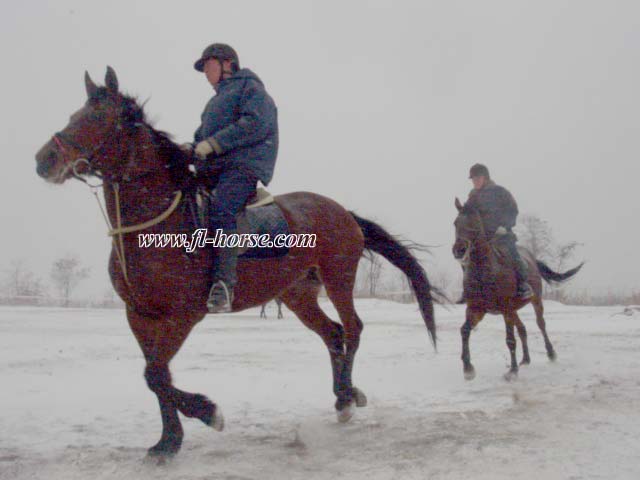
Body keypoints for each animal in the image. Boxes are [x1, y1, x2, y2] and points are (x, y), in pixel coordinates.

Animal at [32, 66, 438, 458]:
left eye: (99, 116)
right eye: (74, 114)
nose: (43, 160)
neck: (159, 221)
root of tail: (343, 212)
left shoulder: (182, 315)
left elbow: (156, 375)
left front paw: (208, 413)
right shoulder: (140, 316)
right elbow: (157, 375)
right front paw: (168, 441)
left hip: (339, 280)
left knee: (352, 330)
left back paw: (346, 398)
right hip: (297, 294)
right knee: (333, 334)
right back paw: (343, 395)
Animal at [452, 197, 584, 380]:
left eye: (474, 222)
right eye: (455, 223)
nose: (459, 250)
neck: (485, 273)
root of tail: (532, 259)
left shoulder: (506, 309)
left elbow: (510, 339)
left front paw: (512, 371)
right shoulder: (476, 309)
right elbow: (464, 330)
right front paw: (468, 369)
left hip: (535, 301)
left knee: (540, 324)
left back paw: (551, 353)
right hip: (514, 310)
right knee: (522, 329)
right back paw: (525, 359)